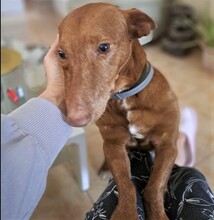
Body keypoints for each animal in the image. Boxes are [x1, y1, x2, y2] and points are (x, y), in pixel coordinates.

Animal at [56, 2, 179, 219]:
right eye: (61, 54)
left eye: (104, 47)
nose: (73, 119)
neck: (125, 97)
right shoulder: (114, 144)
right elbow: (125, 183)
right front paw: (126, 212)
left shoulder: (168, 146)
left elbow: (154, 186)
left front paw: (157, 211)